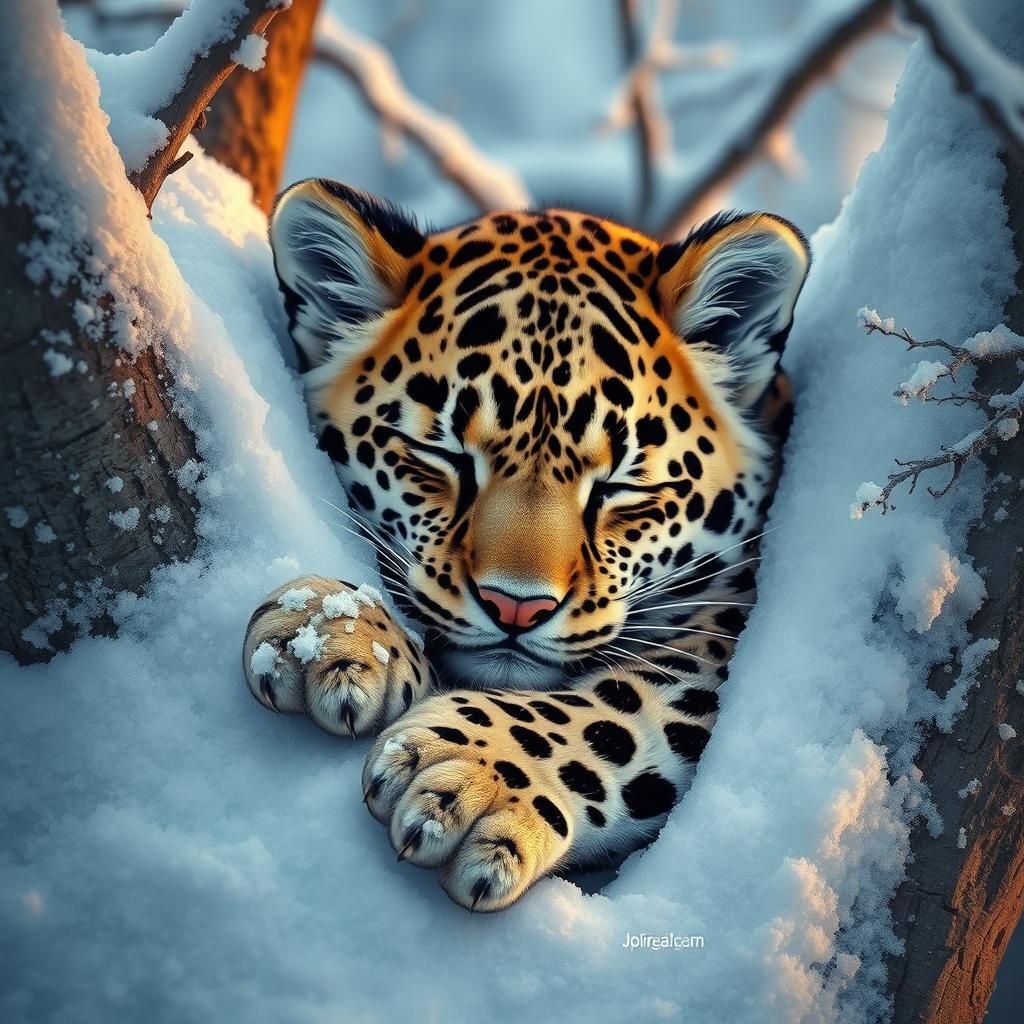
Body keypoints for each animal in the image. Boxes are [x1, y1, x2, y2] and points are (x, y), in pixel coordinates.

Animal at [242, 178, 809, 911]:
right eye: (443, 456)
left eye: (620, 486)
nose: (517, 608)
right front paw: (328, 629)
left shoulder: (718, 638)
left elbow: (613, 710)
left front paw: (474, 777)